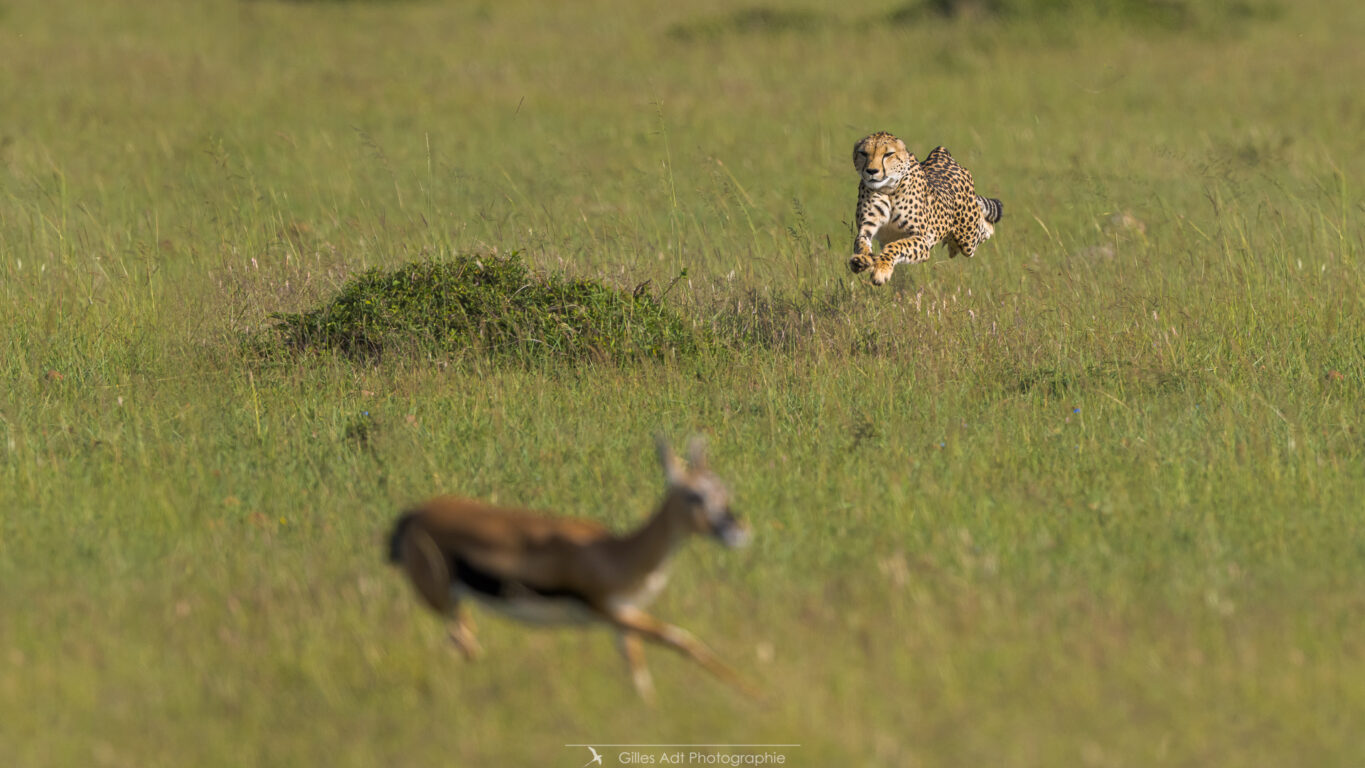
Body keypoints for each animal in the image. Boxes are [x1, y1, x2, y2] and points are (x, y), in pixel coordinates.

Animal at [840, 132, 1004, 289]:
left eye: (888, 154)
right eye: (863, 153)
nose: (872, 171)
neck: (888, 189)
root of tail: (941, 152)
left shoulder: (922, 239)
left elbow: (895, 246)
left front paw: (882, 269)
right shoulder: (866, 228)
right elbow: (861, 243)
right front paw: (862, 260)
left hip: (968, 238)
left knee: (984, 227)